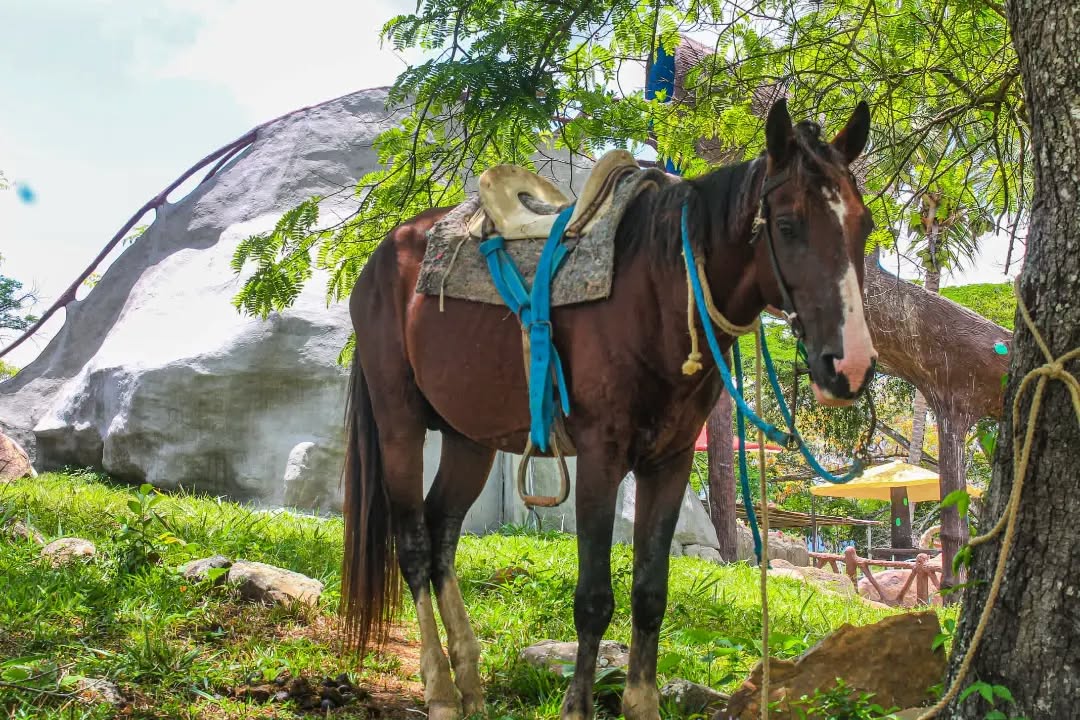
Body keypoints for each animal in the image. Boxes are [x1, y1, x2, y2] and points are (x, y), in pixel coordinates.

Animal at [341, 98, 877, 720]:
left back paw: (470, 681)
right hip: (399, 424)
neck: (660, 291)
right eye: (788, 225)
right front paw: (577, 705)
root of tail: (384, 256)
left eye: (863, 225)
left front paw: (641, 704)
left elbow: (650, 592)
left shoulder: (669, 461)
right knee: (415, 545)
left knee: (442, 529)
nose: (851, 366)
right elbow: (594, 598)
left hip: (468, 437)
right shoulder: (602, 456)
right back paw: (442, 691)